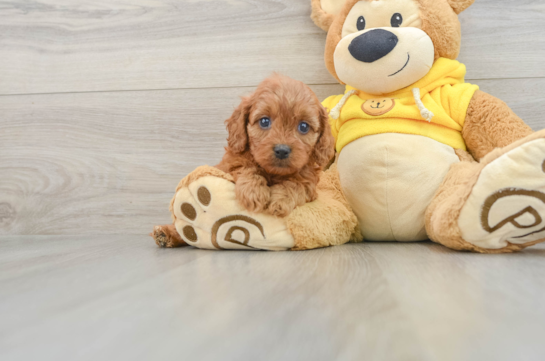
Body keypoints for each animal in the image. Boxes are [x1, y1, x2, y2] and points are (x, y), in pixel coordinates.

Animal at [215, 74, 334, 217]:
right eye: (264, 121)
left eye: (304, 126)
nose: (282, 151)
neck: (274, 173)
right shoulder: (229, 163)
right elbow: (246, 167)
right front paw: (254, 191)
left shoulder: (309, 183)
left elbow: (297, 184)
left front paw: (281, 200)